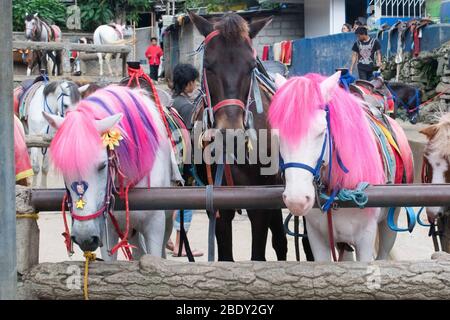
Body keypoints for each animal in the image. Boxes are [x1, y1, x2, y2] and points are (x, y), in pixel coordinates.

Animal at [189, 13, 288, 262]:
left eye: (252, 65)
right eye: (208, 65)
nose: (230, 133)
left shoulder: (260, 202)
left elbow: (258, 256)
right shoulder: (217, 203)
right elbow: (225, 256)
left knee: (280, 242)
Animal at [268, 72, 414, 262]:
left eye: (322, 132)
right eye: (279, 134)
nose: (296, 200)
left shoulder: (365, 239)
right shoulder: (317, 239)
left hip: (390, 223)